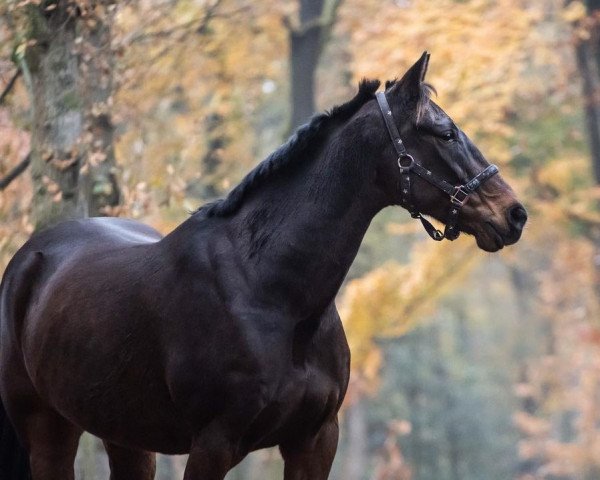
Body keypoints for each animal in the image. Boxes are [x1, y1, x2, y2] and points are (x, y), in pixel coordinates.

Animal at [0, 53, 524, 480]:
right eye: (445, 133)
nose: (514, 215)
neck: (271, 292)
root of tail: (30, 257)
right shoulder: (214, 444)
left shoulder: (314, 441)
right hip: (47, 427)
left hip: (126, 436)